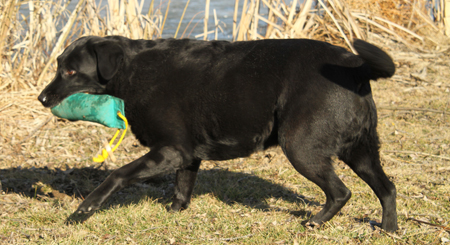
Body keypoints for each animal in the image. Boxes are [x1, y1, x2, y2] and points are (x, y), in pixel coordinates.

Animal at [37, 36, 398, 232]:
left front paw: (83, 211)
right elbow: (182, 189)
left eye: (71, 71)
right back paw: (389, 229)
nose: (42, 98)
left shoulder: (170, 151)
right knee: (387, 187)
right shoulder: (187, 155)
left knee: (341, 192)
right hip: (360, 150)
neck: (132, 70)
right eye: (58, 66)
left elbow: (116, 175)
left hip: (301, 147)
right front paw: (175, 214)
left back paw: (316, 221)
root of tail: (356, 66)